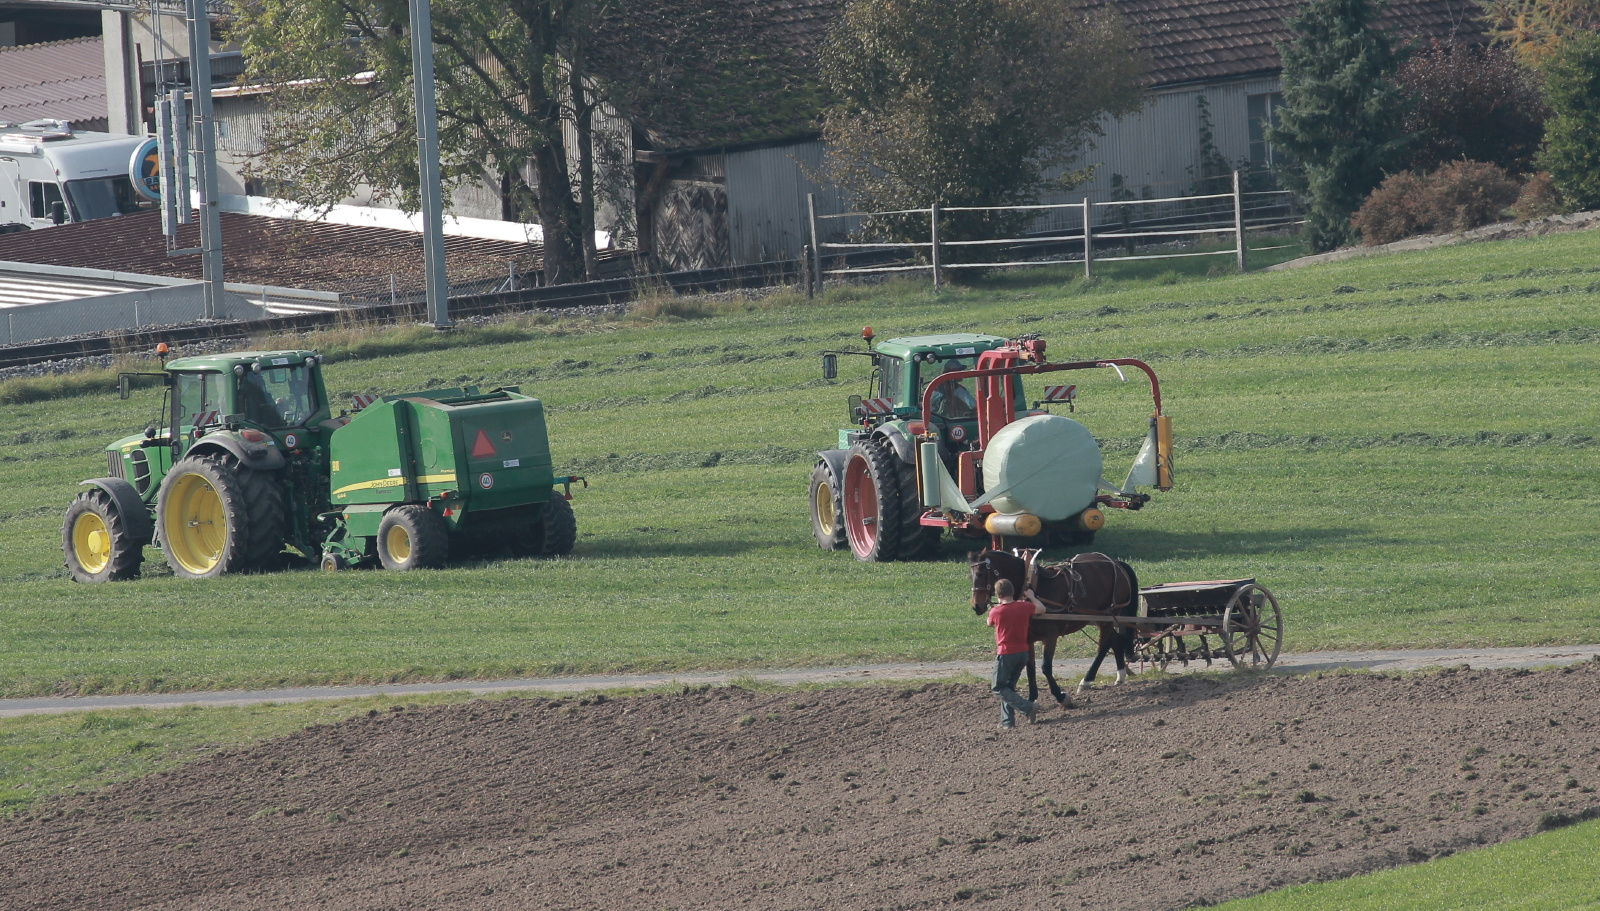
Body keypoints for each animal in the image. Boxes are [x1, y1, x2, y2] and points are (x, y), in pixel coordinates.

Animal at [966, 547, 1145, 704]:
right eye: (970, 575)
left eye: (981, 573)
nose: (976, 606)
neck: (1032, 586)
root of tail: (1116, 563)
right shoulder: (1028, 638)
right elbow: (1030, 667)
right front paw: (1032, 697)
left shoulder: (1050, 636)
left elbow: (1046, 667)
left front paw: (1060, 696)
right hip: (1102, 617)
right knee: (1116, 639)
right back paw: (1120, 674)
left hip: (1106, 615)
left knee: (1104, 645)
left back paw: (1086, 680)